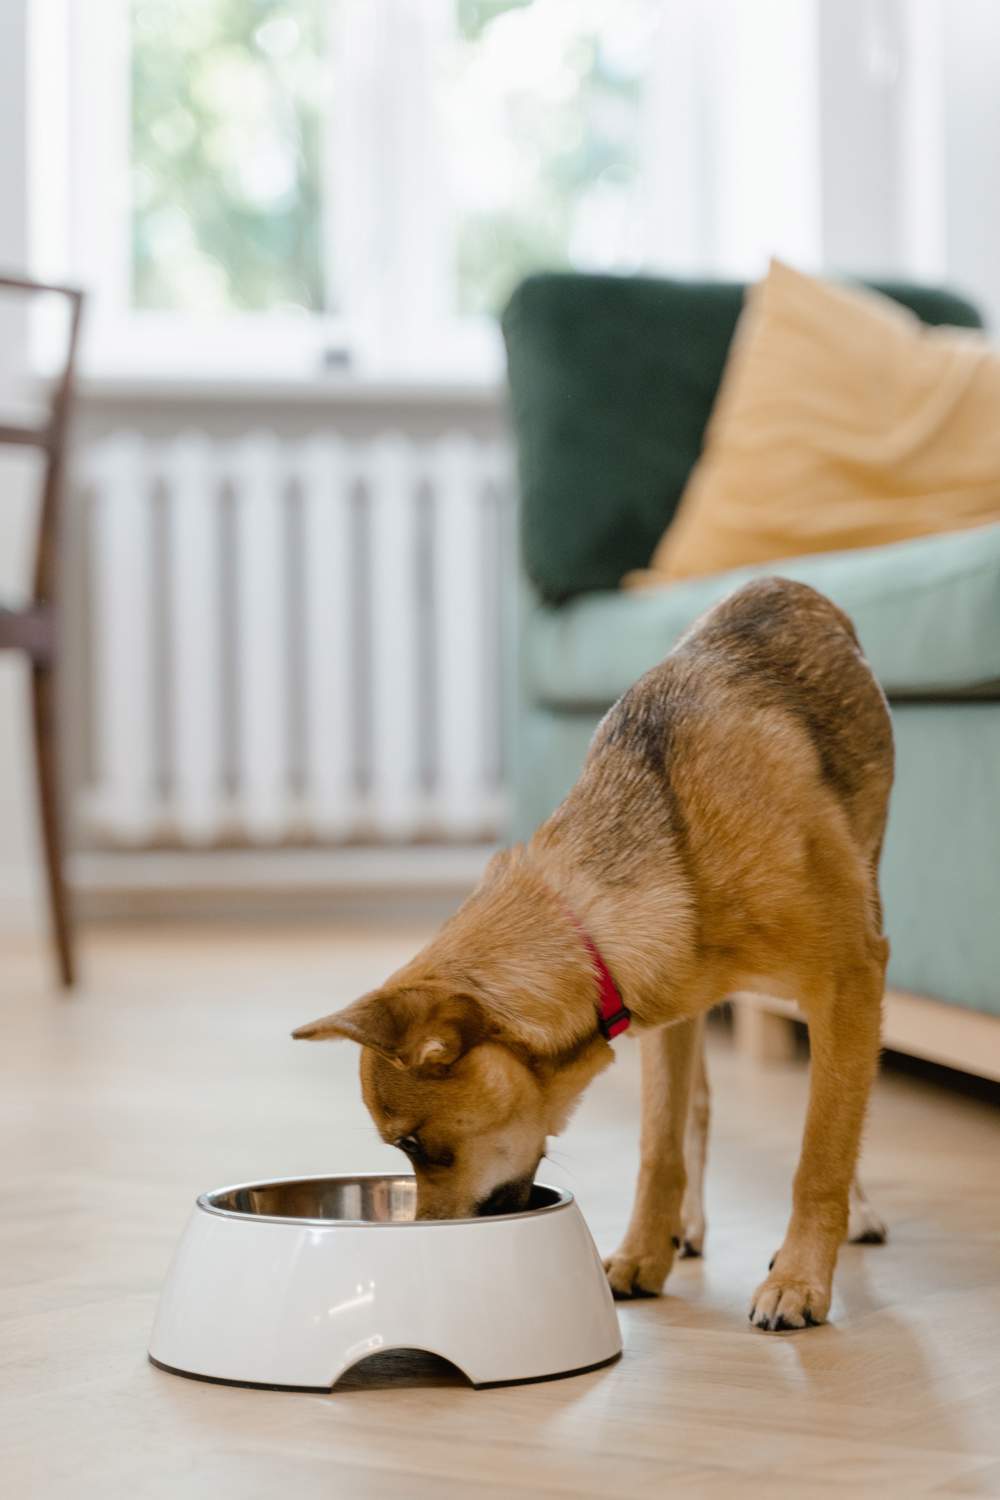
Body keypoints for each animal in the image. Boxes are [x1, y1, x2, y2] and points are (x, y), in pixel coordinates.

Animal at [293, 579, 893, 1332]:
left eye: (413, 1145)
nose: (427, 1239)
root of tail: (786, 584)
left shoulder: (849, 982)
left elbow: (822, 1149)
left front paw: (800, 1277)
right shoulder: (671, 1006)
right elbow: (659, 1147)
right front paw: (644, 1253)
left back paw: (853, 1213)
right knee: (696, 1109)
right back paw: (687, 1225)